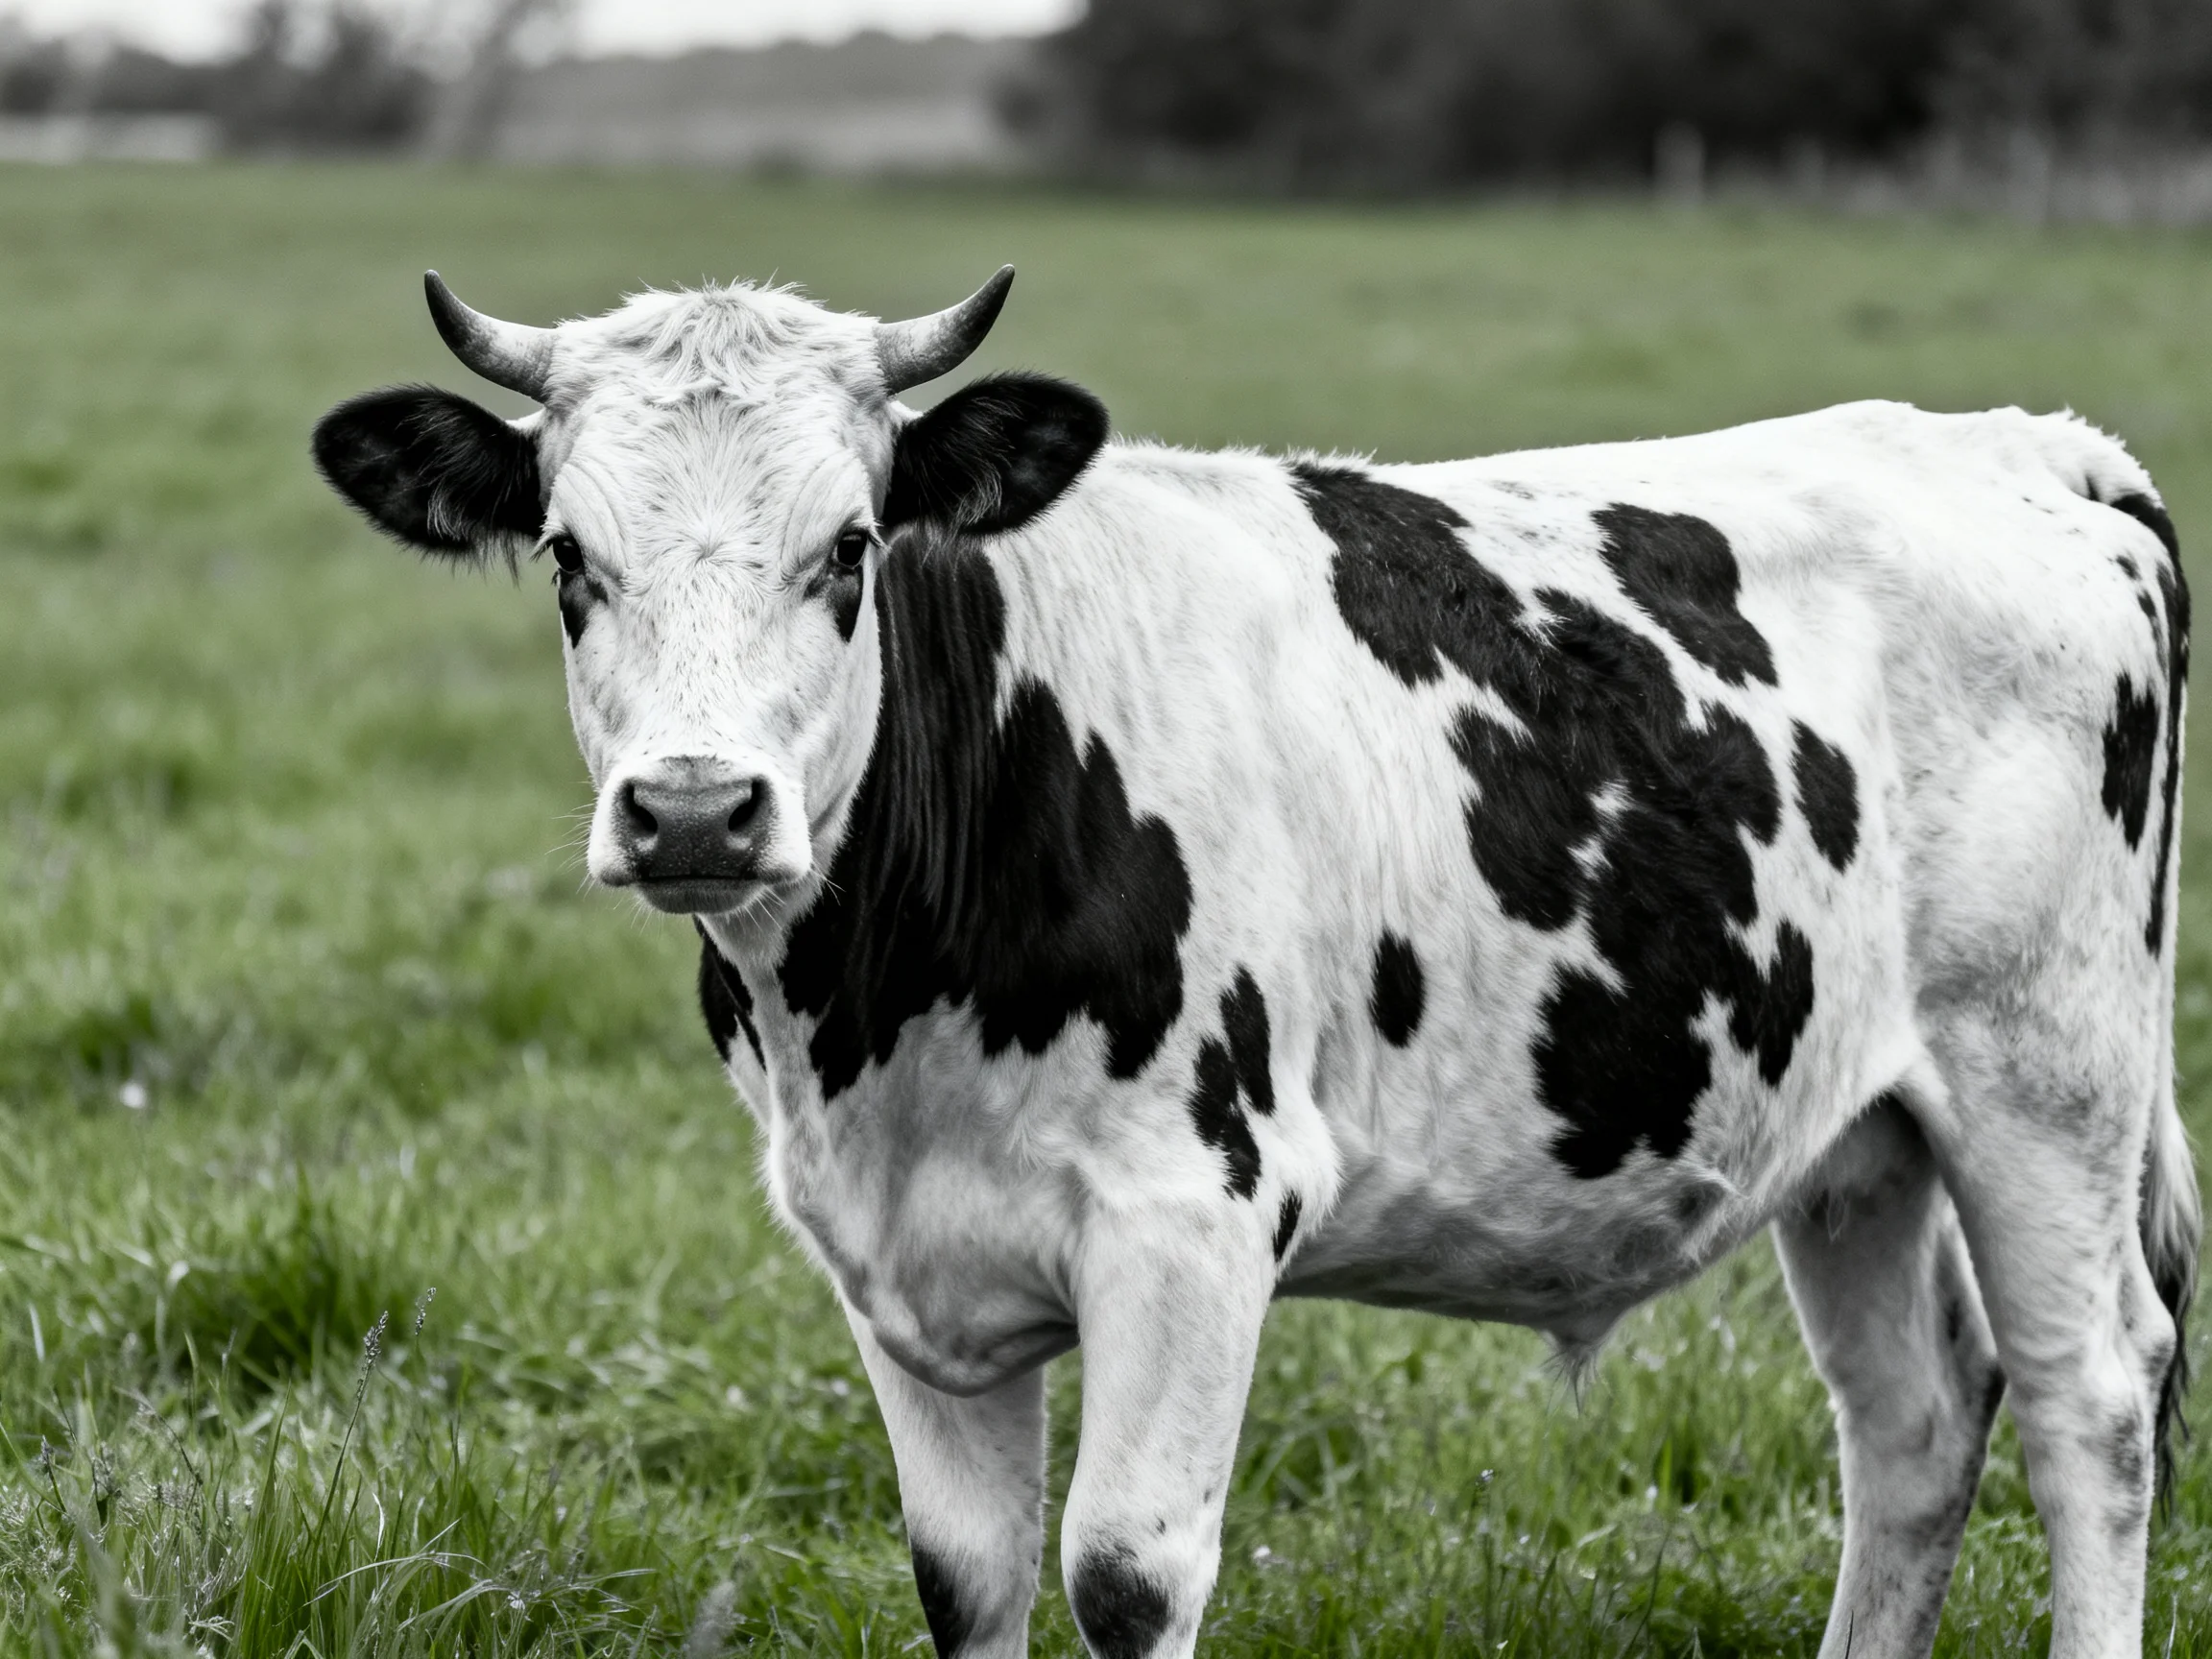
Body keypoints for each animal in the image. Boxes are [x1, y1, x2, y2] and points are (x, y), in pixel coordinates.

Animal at [311, 264, 2197, 1659]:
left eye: (847, 549)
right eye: (569, 557)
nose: (695, 806)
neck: (877, 1013)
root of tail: (2019, 445)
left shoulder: (1194, 1211)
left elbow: (1124, 1574)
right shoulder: (888, 1259)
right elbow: (969, 1581)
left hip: (2045, 1077)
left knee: (2087, 1397)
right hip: (1850, 1127)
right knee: (1911, 1423)